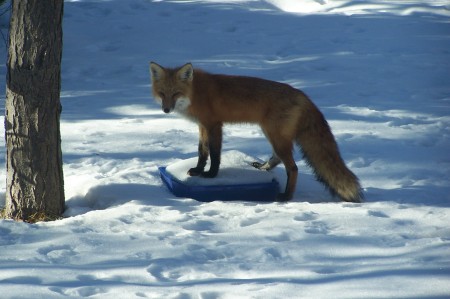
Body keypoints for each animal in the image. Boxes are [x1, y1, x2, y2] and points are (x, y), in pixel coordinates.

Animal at [149, 62, 364, 204]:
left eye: (176, 93)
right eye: (162, 93)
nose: (166, 109)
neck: (195, 92)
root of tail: (302, 95)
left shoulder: (214, 125)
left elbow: (215, 154)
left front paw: (211, 175)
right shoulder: (203, 126)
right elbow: (202, 152)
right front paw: (197, 170)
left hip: (275, 135)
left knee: (293, 168)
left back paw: (286, 196)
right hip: (272, 134)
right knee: (277, 159)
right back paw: (262, 168)